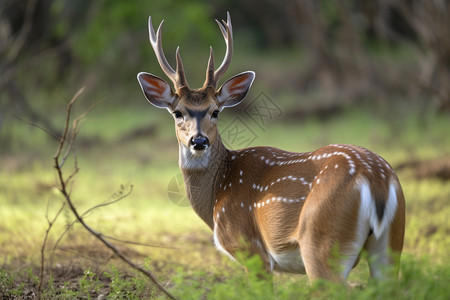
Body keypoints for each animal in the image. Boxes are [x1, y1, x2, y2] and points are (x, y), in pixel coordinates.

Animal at [135, 12, 406, 284]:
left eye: (215, 111)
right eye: (177, 112)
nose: (199, 141)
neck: (217, 192)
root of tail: (375, 178)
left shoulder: (251, 249)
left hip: (321, 240)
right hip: (391, 240)